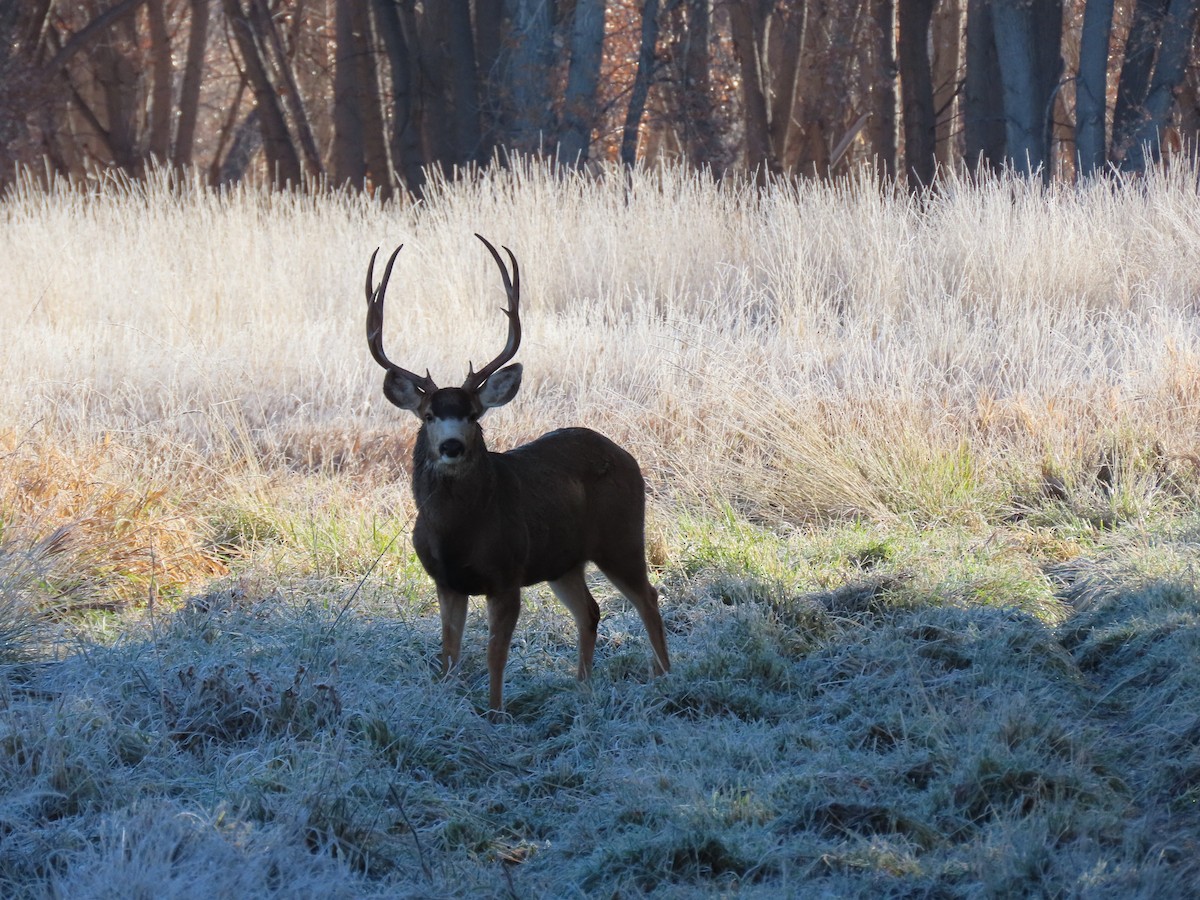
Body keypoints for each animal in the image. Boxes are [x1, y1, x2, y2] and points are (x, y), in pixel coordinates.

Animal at [365, 234, 670, 716]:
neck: (458, 533)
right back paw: (583, 688)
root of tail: (625, 454)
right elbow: (448, 654)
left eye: (473, 415)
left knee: (648, 598)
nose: (452, 446)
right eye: (429, 415)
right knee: (591, 610)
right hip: (562, 560)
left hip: (621, 537)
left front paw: (494, 714)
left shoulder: (506, 575)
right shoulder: (446, 582)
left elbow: (495, 654)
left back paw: (665, 679)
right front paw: (448, 704)